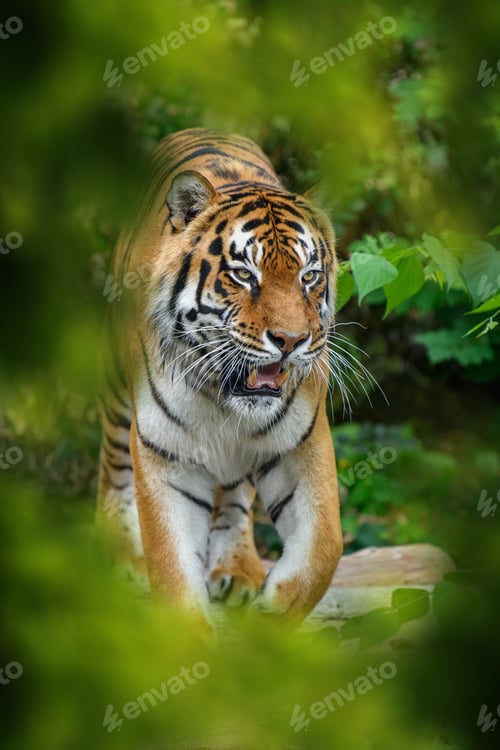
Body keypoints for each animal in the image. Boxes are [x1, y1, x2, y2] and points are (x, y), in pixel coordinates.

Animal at [96, 127, 343, 627]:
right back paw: (119, 557)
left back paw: (238, 569)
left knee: (233, 496)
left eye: (309, 276)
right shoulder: (164, 453)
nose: (291, 340)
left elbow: (323, 551)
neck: (222, 399)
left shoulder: (301, 445)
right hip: (115, 390)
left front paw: (268, 623)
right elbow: (171, 568)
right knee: (111, 465)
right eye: (244, 275)